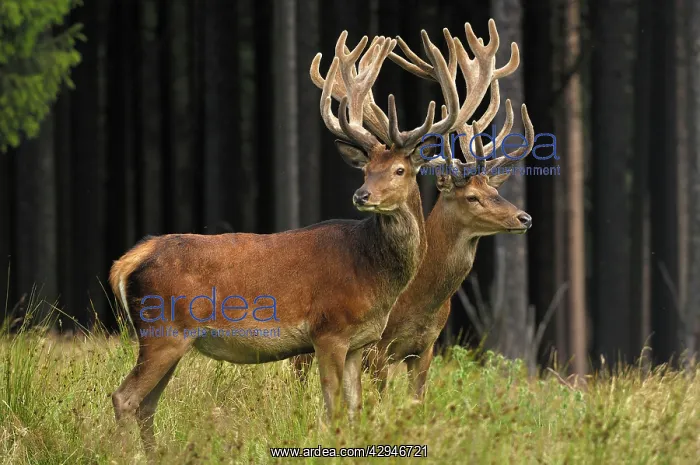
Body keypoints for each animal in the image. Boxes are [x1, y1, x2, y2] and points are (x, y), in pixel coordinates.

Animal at [108, 30, 464, 452]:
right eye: (366, 170)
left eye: (399, 170)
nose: (362, 196)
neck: (374, 273)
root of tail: (129, 260)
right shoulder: (329, 331)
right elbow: (332, 408)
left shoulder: (359, 344)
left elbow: (355, 408)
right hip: (163, 330)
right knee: (125, 397)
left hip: (170, 338)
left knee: (147, 403)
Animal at [292, 19, 535, 401]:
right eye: (471, 197)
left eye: (492, 190)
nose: (524, 217)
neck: (419, 302)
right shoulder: (376, 348)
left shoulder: (426, 349)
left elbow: (416, 399)